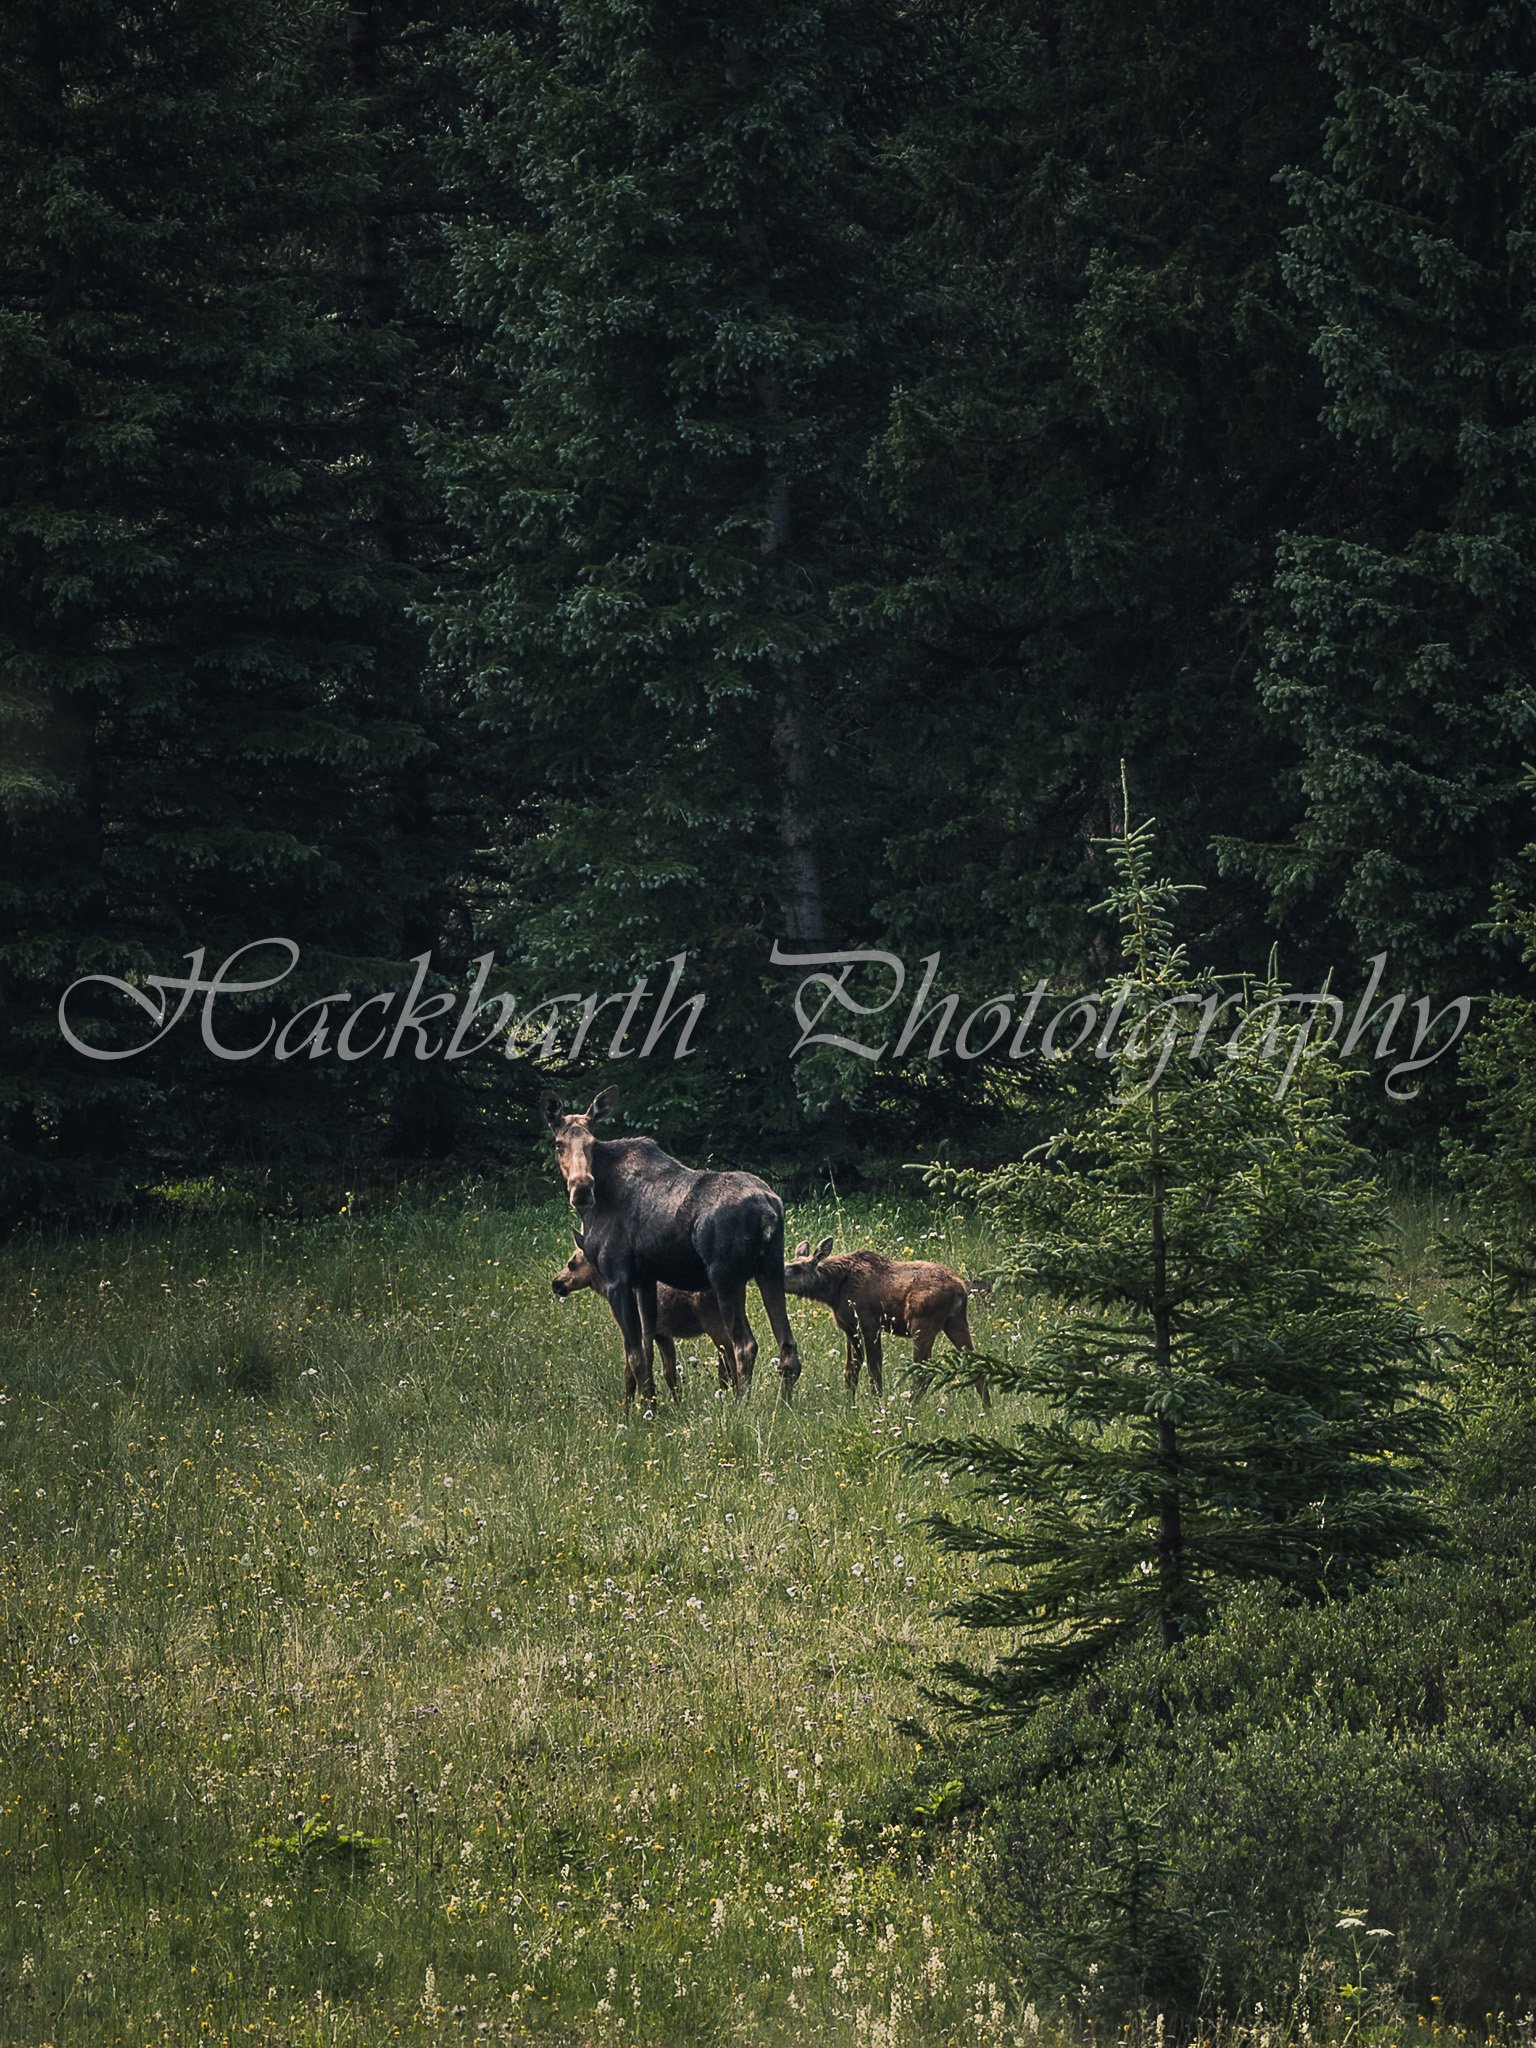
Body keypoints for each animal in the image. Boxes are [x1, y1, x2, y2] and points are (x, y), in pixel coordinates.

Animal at [551, 1233, 735, 1395]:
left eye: (572, 1263)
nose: (555, 1283)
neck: (604, 1287)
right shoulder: (662, 1334)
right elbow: (669, 1374)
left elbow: (630, 1376)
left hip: (714, 1324)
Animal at [782, 1236, 991, 1407]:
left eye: (796, 1268)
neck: (833, 1290)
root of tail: (961, 1289)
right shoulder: (850, 1329)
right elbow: (851, 1370)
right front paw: (850, 1405)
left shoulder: (869, 1325)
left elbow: (874, 1369)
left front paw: (877, 1407)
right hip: (956, 1322)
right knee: (976, 1364)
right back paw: (987, 1409)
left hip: (922, 1324)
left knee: (924, 1371)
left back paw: (909, 1407)